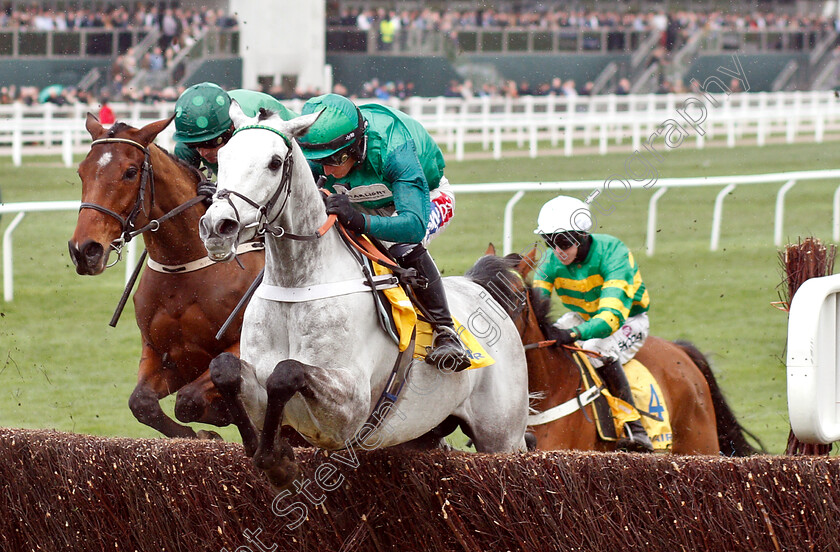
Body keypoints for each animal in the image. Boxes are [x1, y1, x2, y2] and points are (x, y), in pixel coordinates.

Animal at [69, 115, 266, 440]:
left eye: (130, 172)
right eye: (81, 171)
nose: (84, 250)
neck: (184, 265)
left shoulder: (242, 348)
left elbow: (192, 398)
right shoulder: (164, 354)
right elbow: (142, 403)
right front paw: (202, 433)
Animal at [196, 105, 524, 490]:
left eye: (275, 162)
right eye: (222, 157)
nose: (218, 227)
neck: (298, 283)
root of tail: (478, 286)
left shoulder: (349, 407)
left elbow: (287, 372)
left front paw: (277, 461)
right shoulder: (257, 388)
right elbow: (225, 370)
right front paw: (269, 454)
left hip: (503, 436)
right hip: (421, 433)